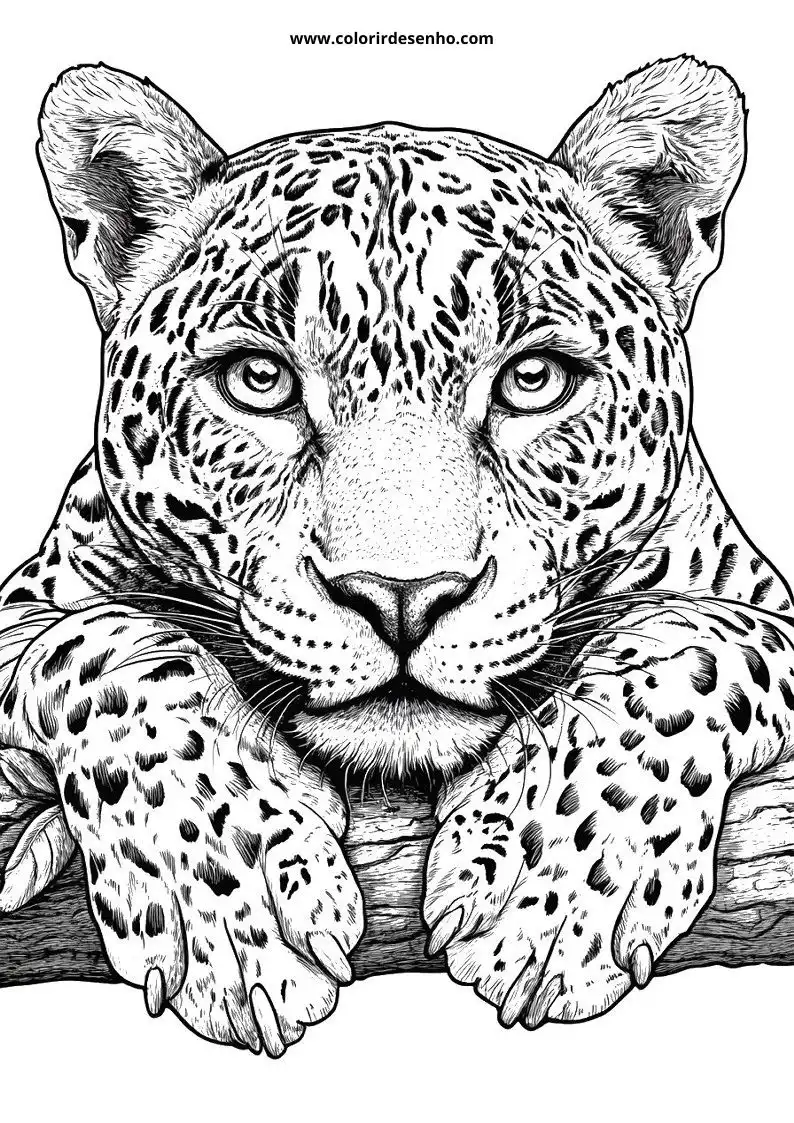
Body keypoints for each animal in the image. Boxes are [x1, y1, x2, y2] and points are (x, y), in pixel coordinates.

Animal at [1, 54, 793, 1052]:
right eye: (258, 380)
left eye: (534, 379)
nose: (403, 597)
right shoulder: (30, 607)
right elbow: (102, 646)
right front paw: (231, 896)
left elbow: (688, 641)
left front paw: (549, 887)